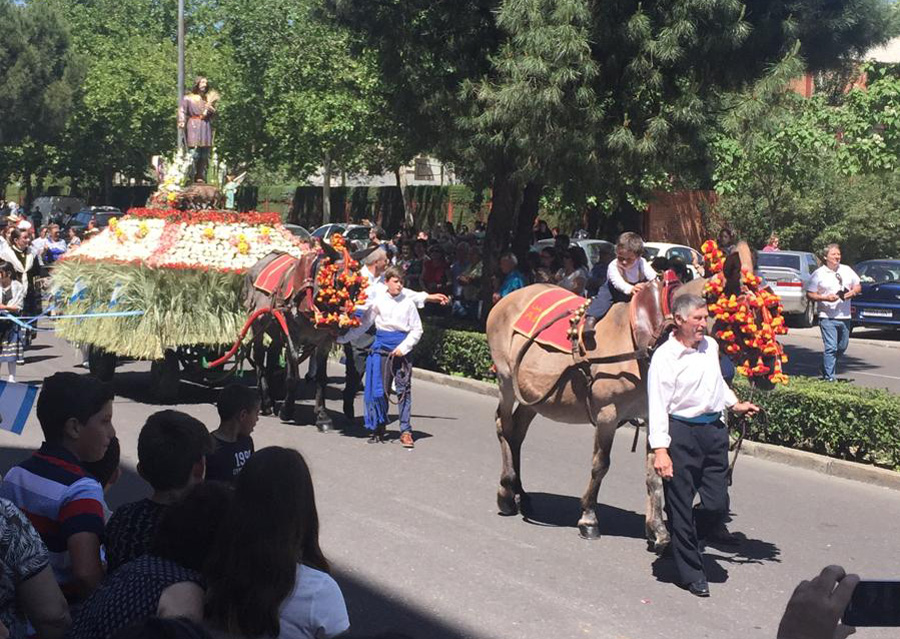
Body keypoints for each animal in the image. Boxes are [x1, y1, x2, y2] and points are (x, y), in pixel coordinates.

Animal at [488, 276, 708, 552]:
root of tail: (509, 297)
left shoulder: (653, 415)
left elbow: (654, 473)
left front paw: (657, 529)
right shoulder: (607, 415)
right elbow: (600, 465)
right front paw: (589, 518)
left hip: (533, 392)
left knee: (516, 433)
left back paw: (521, 494)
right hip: (506, 379)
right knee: (503, 426)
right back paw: (506, 492)